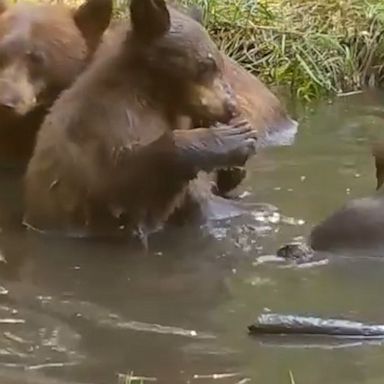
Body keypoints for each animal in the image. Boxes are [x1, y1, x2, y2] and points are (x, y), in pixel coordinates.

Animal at [23, 0, 258, 243]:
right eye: (205, 65)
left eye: (219, 64)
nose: (232, 107)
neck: (158, 95)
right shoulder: (105, 123)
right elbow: (123, 183)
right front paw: (234, 137)